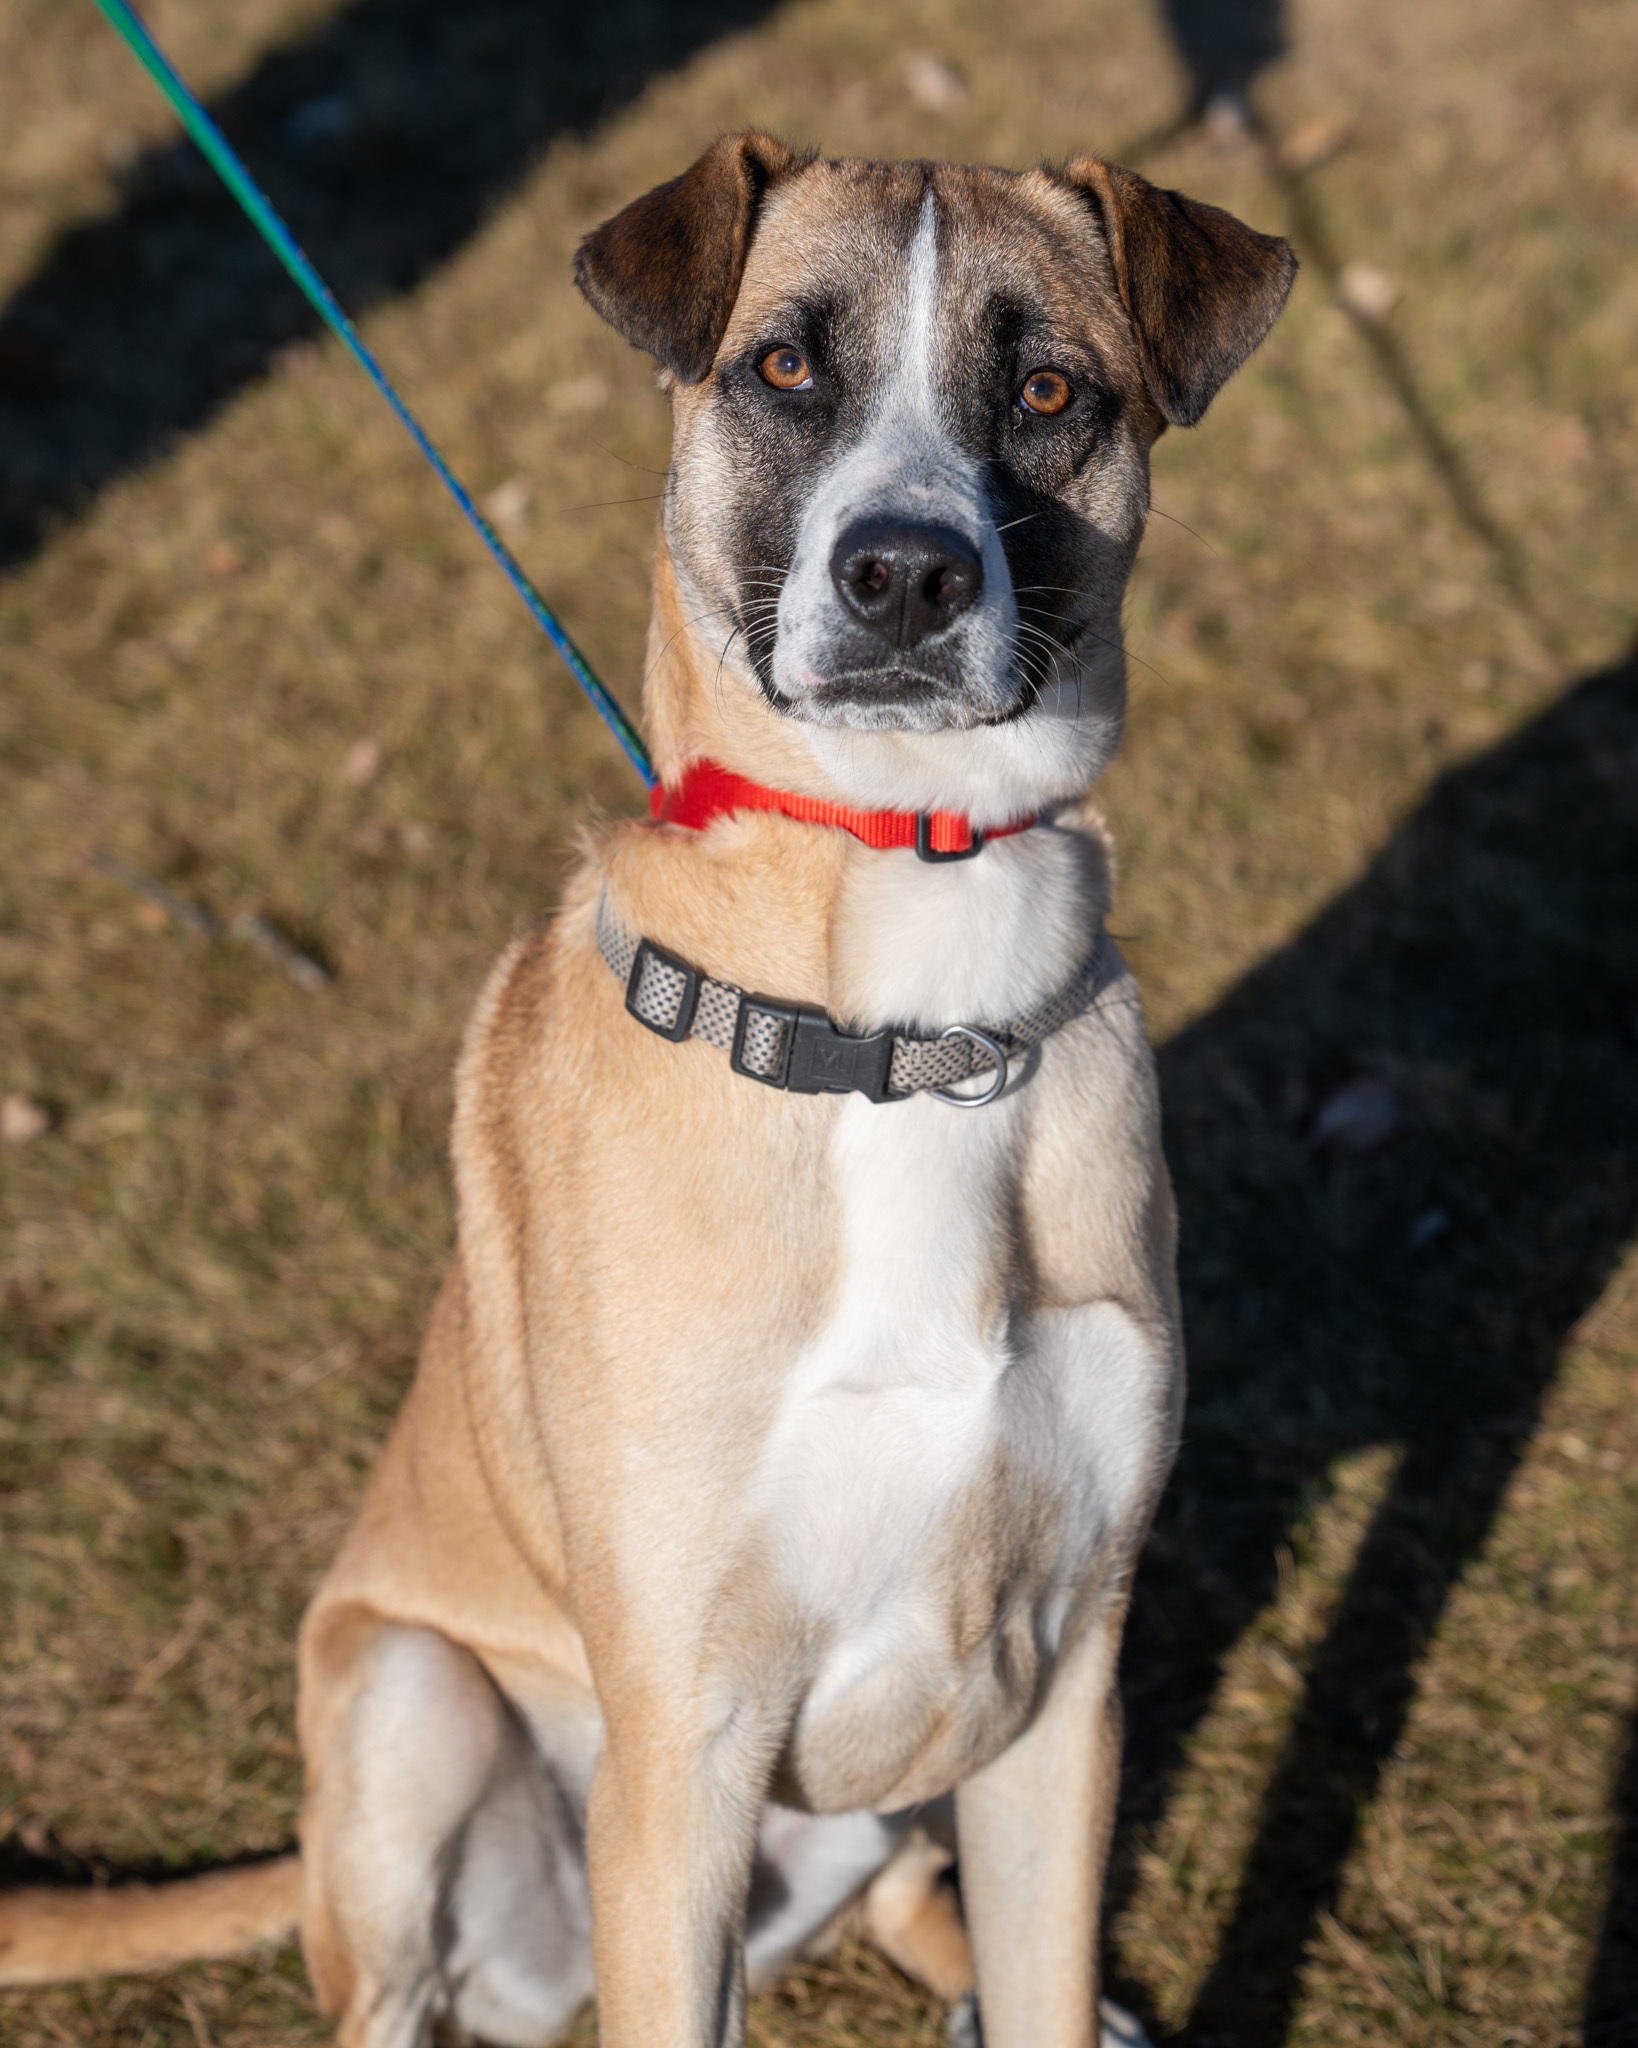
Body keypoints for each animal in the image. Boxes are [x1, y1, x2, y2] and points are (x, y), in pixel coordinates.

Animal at [0, 144, 1294, 2048]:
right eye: (784, 365)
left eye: (1050, 390)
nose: (903, 576)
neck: (901, 1003)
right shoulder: (681, 1749)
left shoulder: (1064, 1687)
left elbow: (1044, 1979)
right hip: (407, 1698)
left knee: (915, 1898)